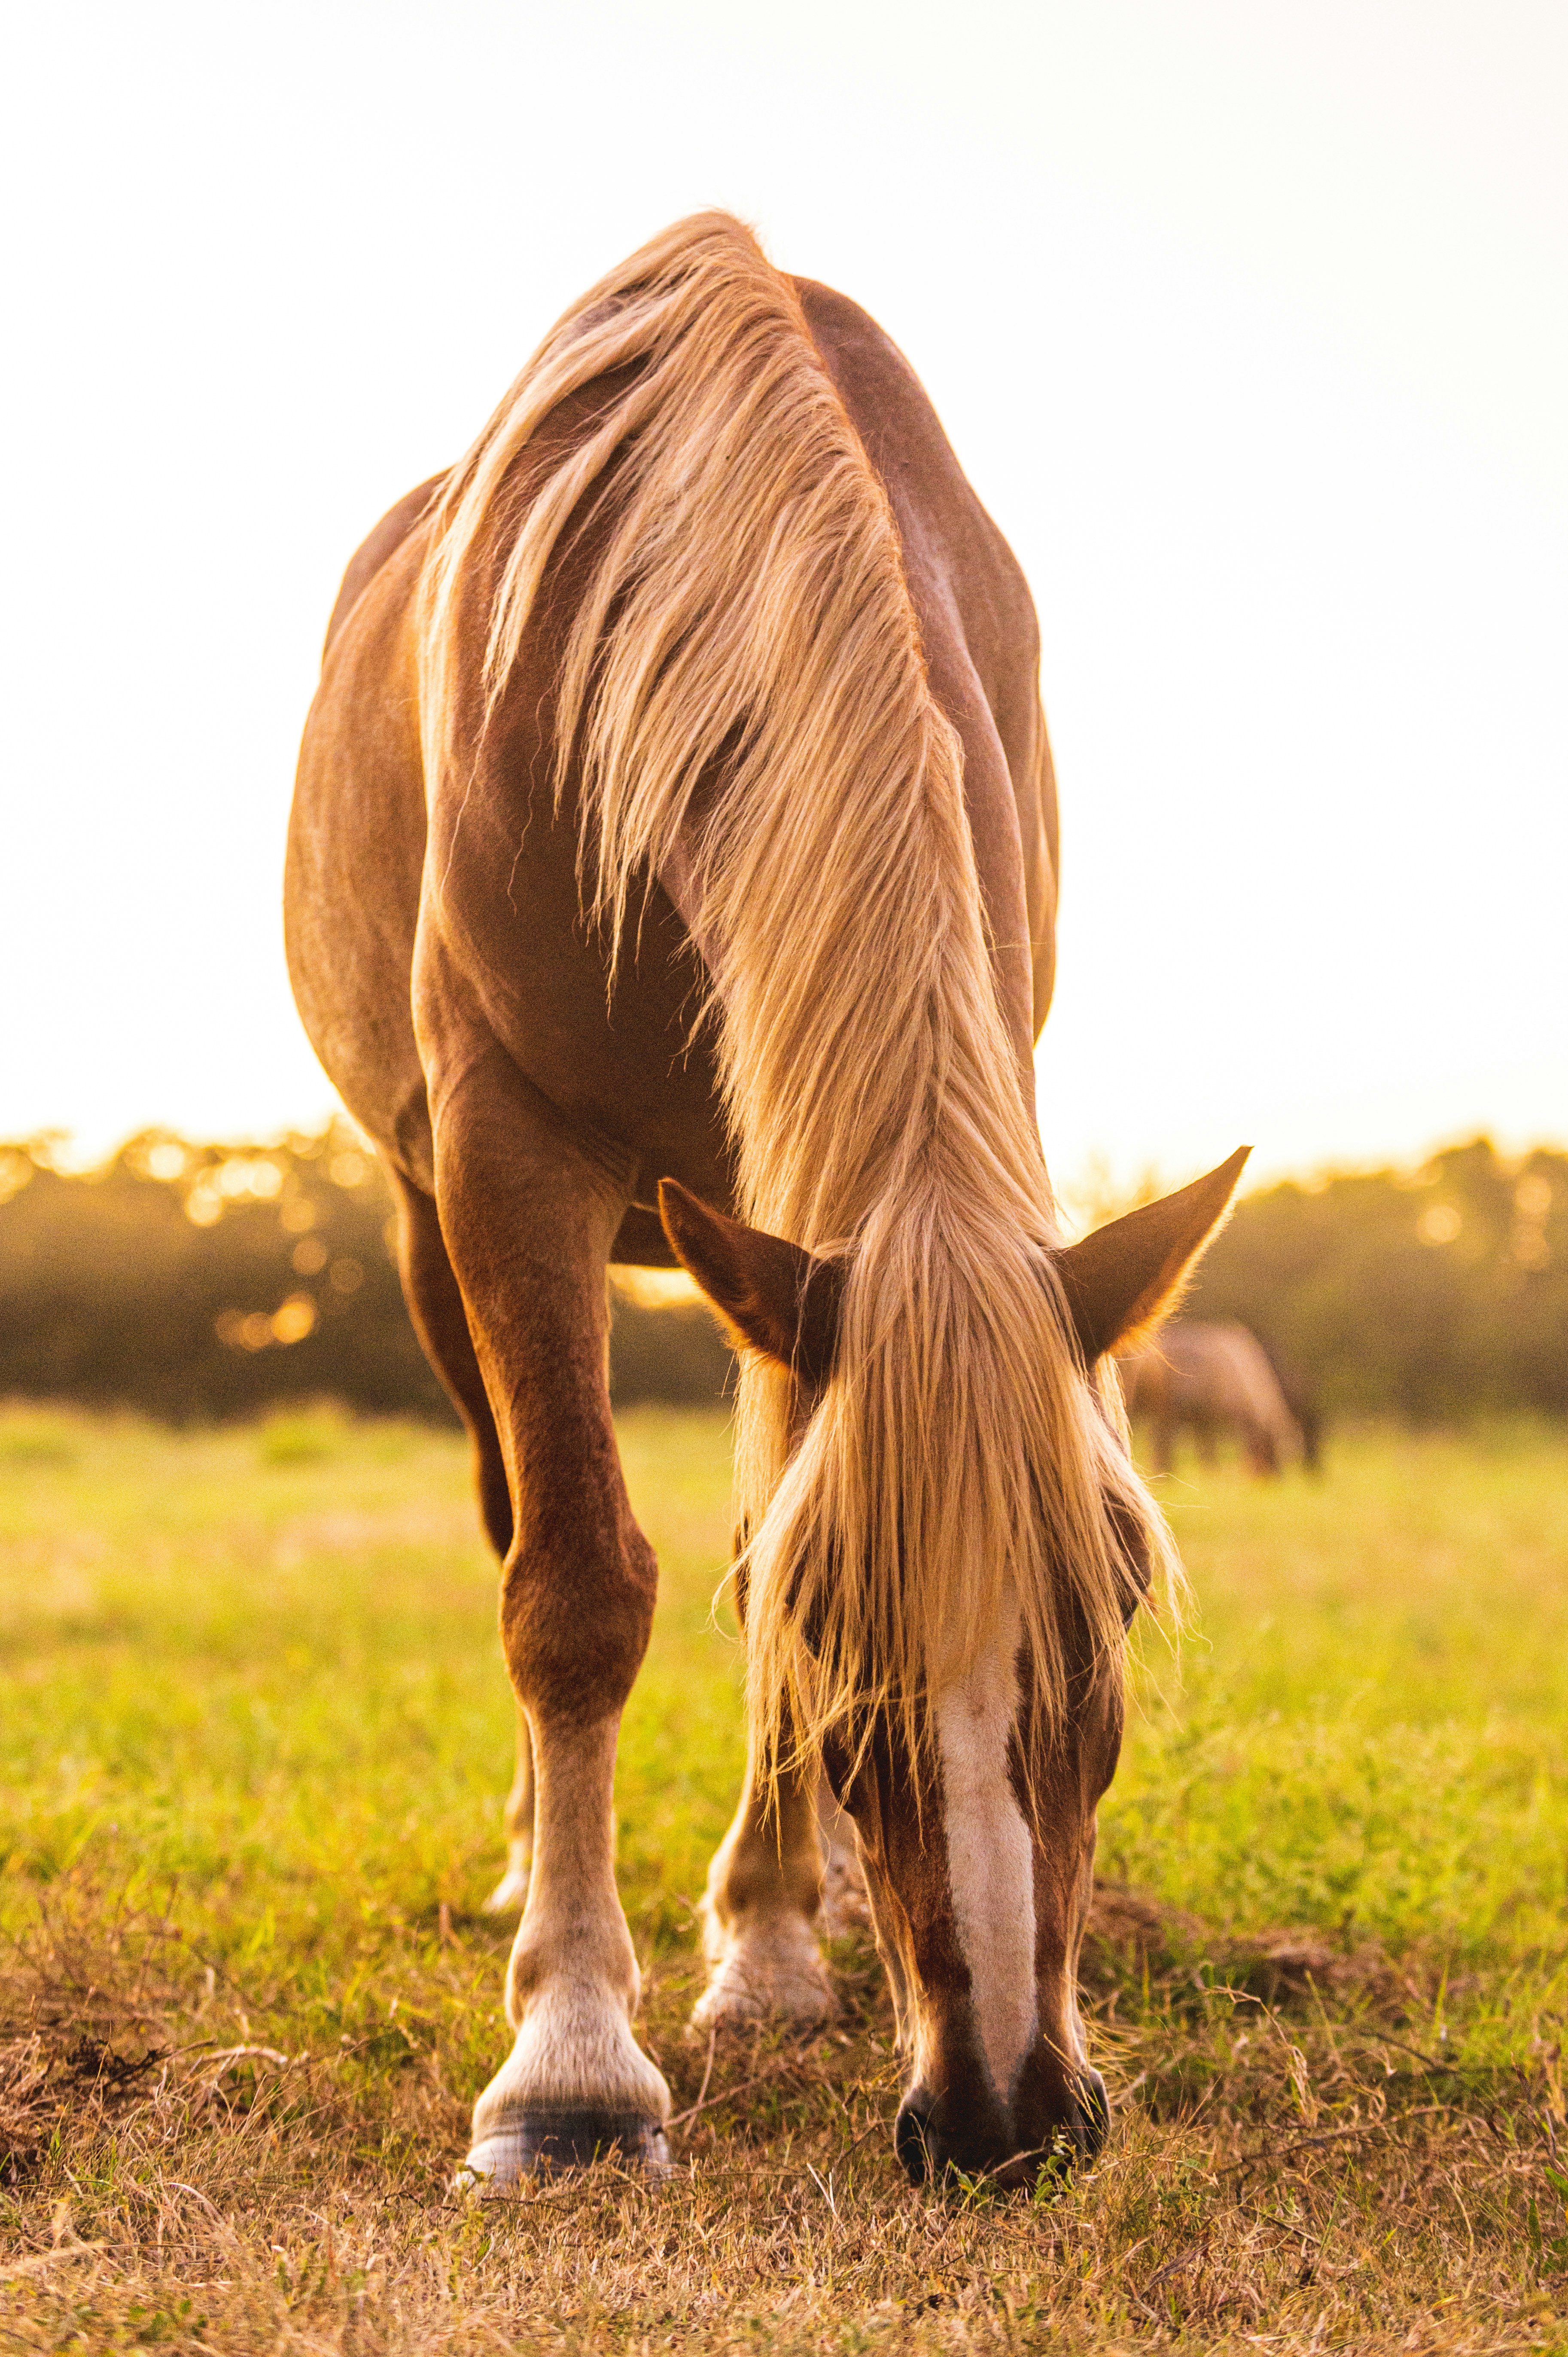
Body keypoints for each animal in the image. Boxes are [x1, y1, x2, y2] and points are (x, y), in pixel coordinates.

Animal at [286, 213, 1245, 2189]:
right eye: (839, 1615)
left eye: (1111, 1596)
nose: (1005, 2117)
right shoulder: (508, 1153)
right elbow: (577, 1583)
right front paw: (573, 2063)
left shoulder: (786, 1217)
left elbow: (736, 1541)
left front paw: (773, 1937)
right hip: (429, 1223)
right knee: (509, 1510)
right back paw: (530, 1873)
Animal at [1117, 1321, 1305, 1476]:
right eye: (1274, 1453)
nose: (1276, 1480)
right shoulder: (1176, 1413)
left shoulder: (1202, 1419)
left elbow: (1206, 1450)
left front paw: (1210, 1474)